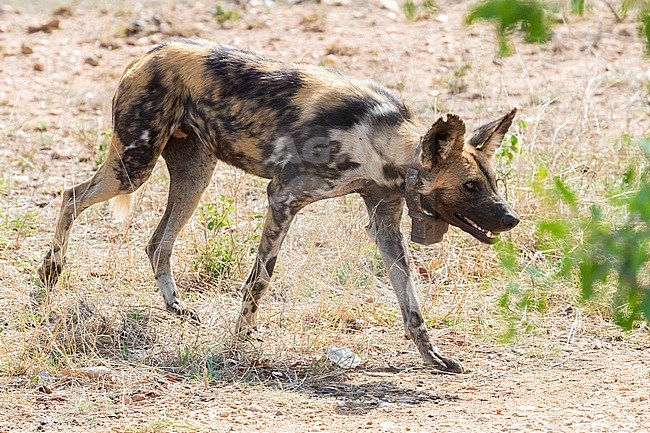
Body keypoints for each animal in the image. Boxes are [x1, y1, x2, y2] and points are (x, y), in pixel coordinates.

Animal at [39, 38, 516, 372]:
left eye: (493, 183)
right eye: (471, 186)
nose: (511, 218)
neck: (380, 144)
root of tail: (149, 53)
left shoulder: (384, 222)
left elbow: (411, 304)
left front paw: (432, 357)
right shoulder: (283, 198)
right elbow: (259, 281)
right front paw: (238, 346)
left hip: (194, 176)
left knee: (157, 242)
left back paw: (176, 307)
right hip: (133, 167)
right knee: (71, 197)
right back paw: (49, 274)